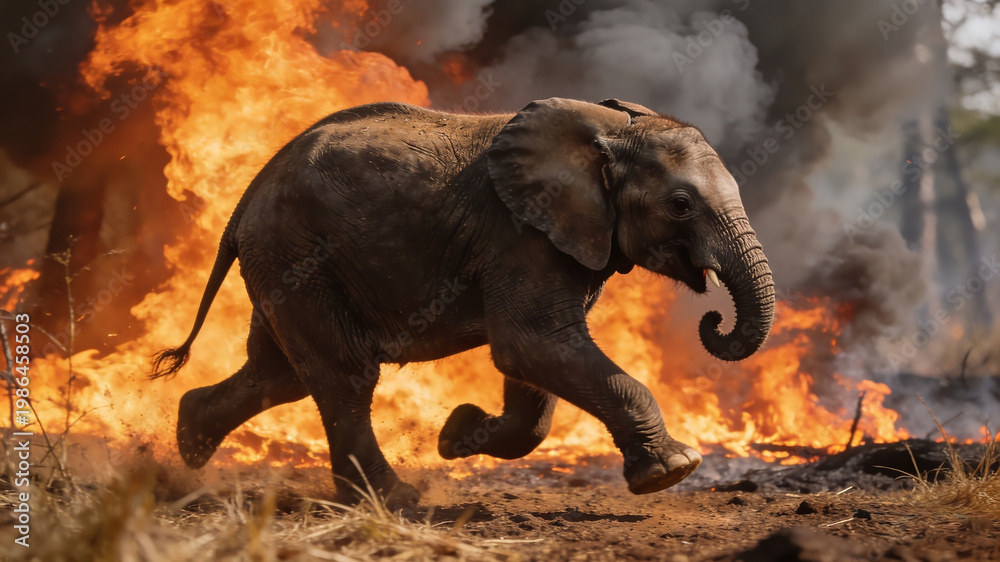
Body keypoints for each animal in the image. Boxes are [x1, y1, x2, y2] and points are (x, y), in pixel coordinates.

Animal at [153, 97, 775, 505]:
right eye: (680, 205)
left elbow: (535, 365)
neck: (610, 131)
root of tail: (245, 199)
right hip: (297, 254)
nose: (713, 318)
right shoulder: (520, 234)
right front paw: (674, 471)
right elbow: (533, 344)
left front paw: (456, 435)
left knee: (280, 374)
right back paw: (394, 500)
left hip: (285, 264)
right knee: (343, 375)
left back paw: (189, 443)